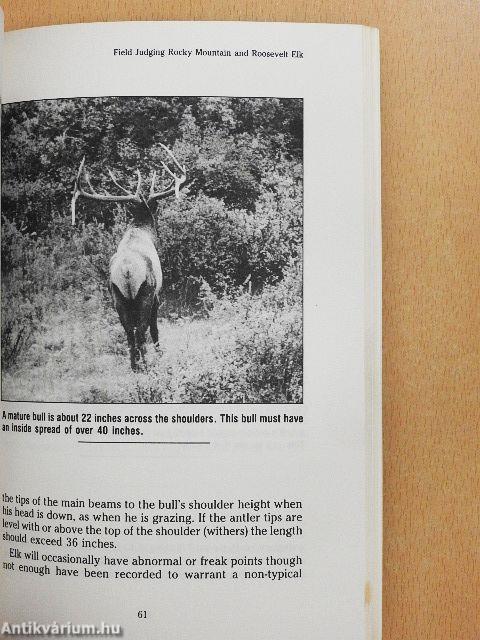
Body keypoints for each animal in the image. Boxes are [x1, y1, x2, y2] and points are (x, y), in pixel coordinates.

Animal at [71, 142, 188, 368]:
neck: (141, 230)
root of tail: (126, 272)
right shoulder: (157, 296)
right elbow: (155, 329)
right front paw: (160, 354)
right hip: (145, 294)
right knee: (141, 332)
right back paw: (147, 365)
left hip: (118, 298)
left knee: (129, 334)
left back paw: (134, 366)